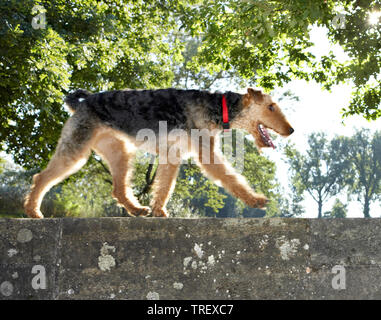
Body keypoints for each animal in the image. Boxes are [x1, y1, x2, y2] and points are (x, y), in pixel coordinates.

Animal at [23, 87, 294, 218]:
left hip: (120, 152)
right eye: (271, 106)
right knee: (41, 178)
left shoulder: (173, 155)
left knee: (118, 189)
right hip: (76, 151)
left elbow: (164, 187)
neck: (220, 108)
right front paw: (256, 200)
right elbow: (231, 178)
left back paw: (137, 210)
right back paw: (33, 211)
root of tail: (82, 102)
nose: (291, 130)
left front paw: (158, 211)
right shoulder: (206, 153)